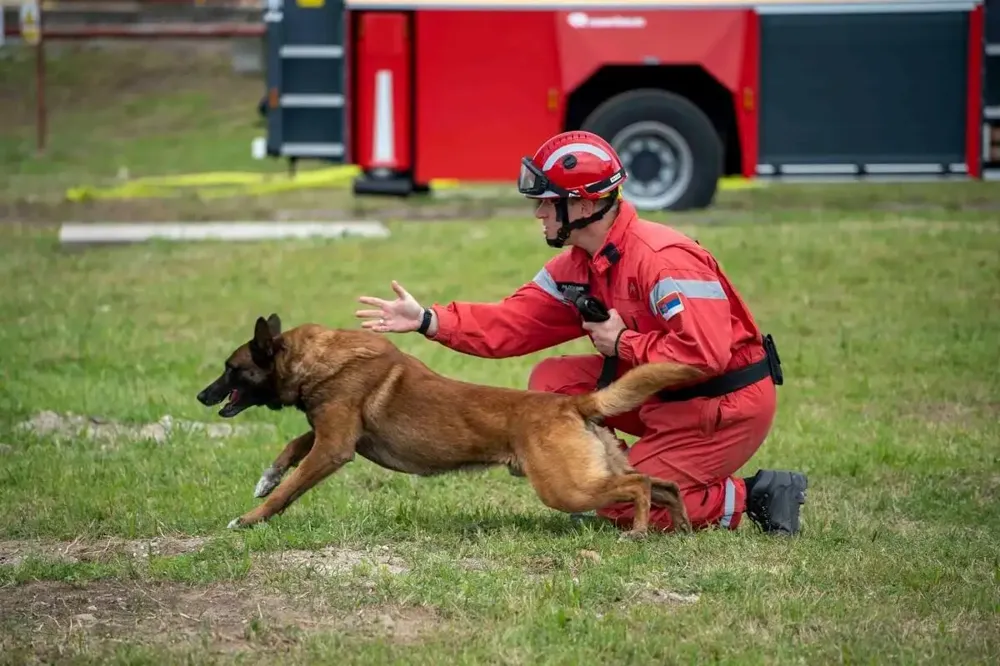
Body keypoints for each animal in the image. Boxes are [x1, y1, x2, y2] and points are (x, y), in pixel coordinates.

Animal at [197, 314, 704, 536]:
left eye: (231, 369)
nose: (202, 395)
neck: (315, 359)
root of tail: (574, 404)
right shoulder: (335, 435)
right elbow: (293, 448)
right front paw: (266, 478)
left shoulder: (335, 446)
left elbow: (290, 488)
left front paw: (250, 519)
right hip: (593, 473)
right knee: (664, 484)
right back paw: (679, 527)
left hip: (566, 488)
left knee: (641, 484)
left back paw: (639, 531)